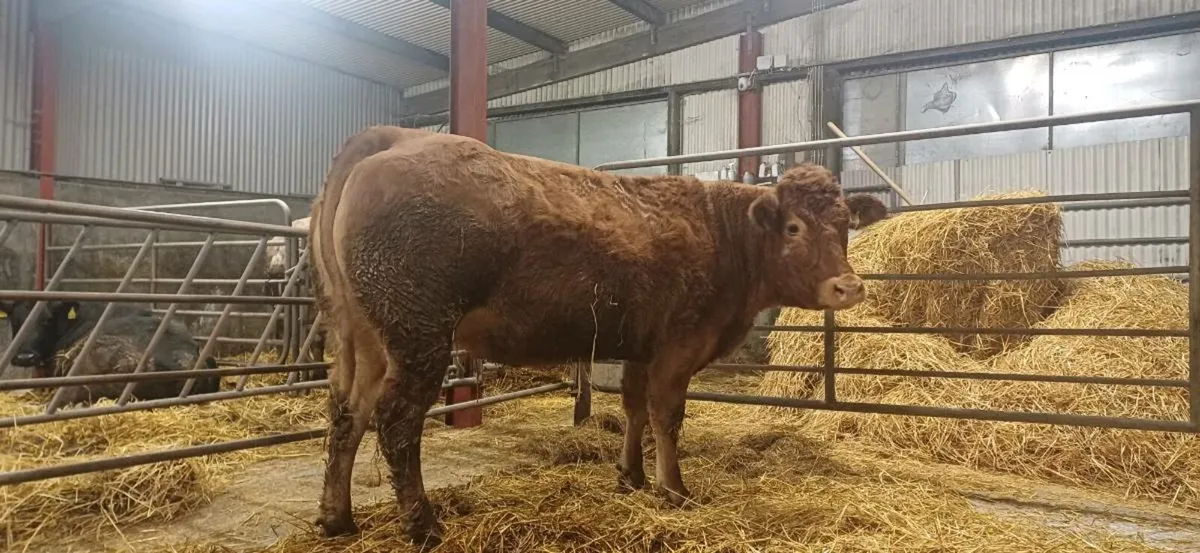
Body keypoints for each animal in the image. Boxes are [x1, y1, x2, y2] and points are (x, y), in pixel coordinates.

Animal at [308, 126, 889, 549]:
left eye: (845, 225)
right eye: (794, 228)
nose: (848, 285)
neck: (722, 233)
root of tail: (395, 137)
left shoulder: (641, 345)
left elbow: (633, 407)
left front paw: (630, 476)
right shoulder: (680, 344)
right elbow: (666, 415)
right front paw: (674, 490)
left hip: (363, 336)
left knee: (347, 414)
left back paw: (338, 518)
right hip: (418, 332)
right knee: (396, 422)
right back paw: (423, 525)